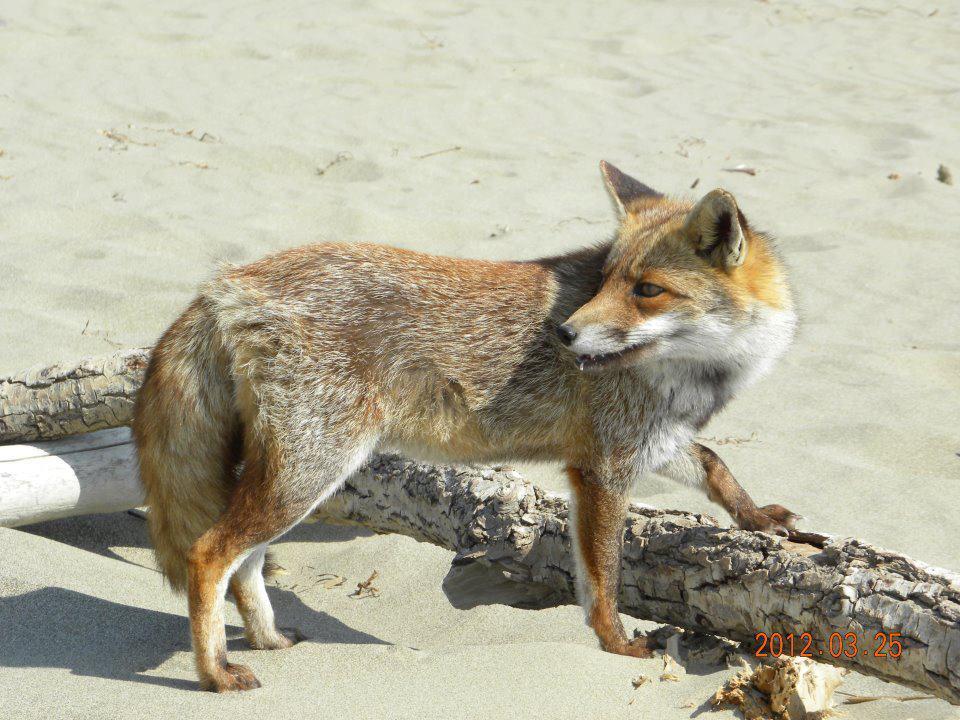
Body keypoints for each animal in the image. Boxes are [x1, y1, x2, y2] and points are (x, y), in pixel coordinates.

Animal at [131, 160, 800, 688]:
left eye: (647, 290)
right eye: (607, 280)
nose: (564, 335)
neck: (691, 375)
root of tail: (227, 282)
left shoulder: (646, 442)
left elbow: (714, 464)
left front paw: (759, 518)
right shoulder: (602, 468)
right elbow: (603, 580)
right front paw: (618, 645)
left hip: (292, 475)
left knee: (245, 563)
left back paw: (267, 640)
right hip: (310, 471)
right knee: (209, 555)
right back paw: (215, 673)